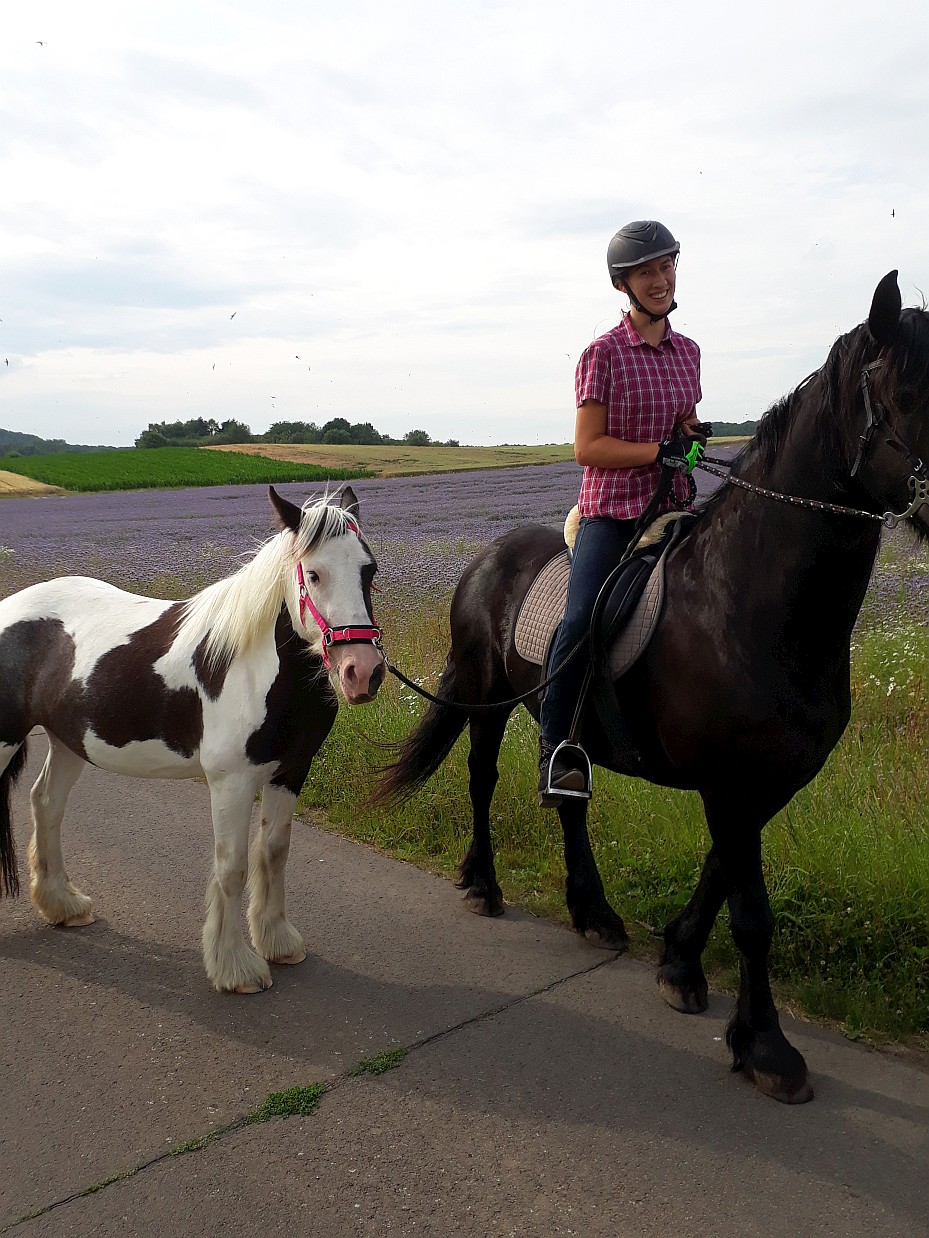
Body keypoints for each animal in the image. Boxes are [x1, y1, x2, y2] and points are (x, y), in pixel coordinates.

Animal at [0, 485, 386, 995]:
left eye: (369, 570)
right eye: (315, 573)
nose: (362, 672)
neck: (252, 668)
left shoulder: (290, 772)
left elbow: (274, 852)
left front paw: (278, 941)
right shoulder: (231, 782)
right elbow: (233, 866)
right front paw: (236, 968)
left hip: (69, 743)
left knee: (46, 804)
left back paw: (63, 904)